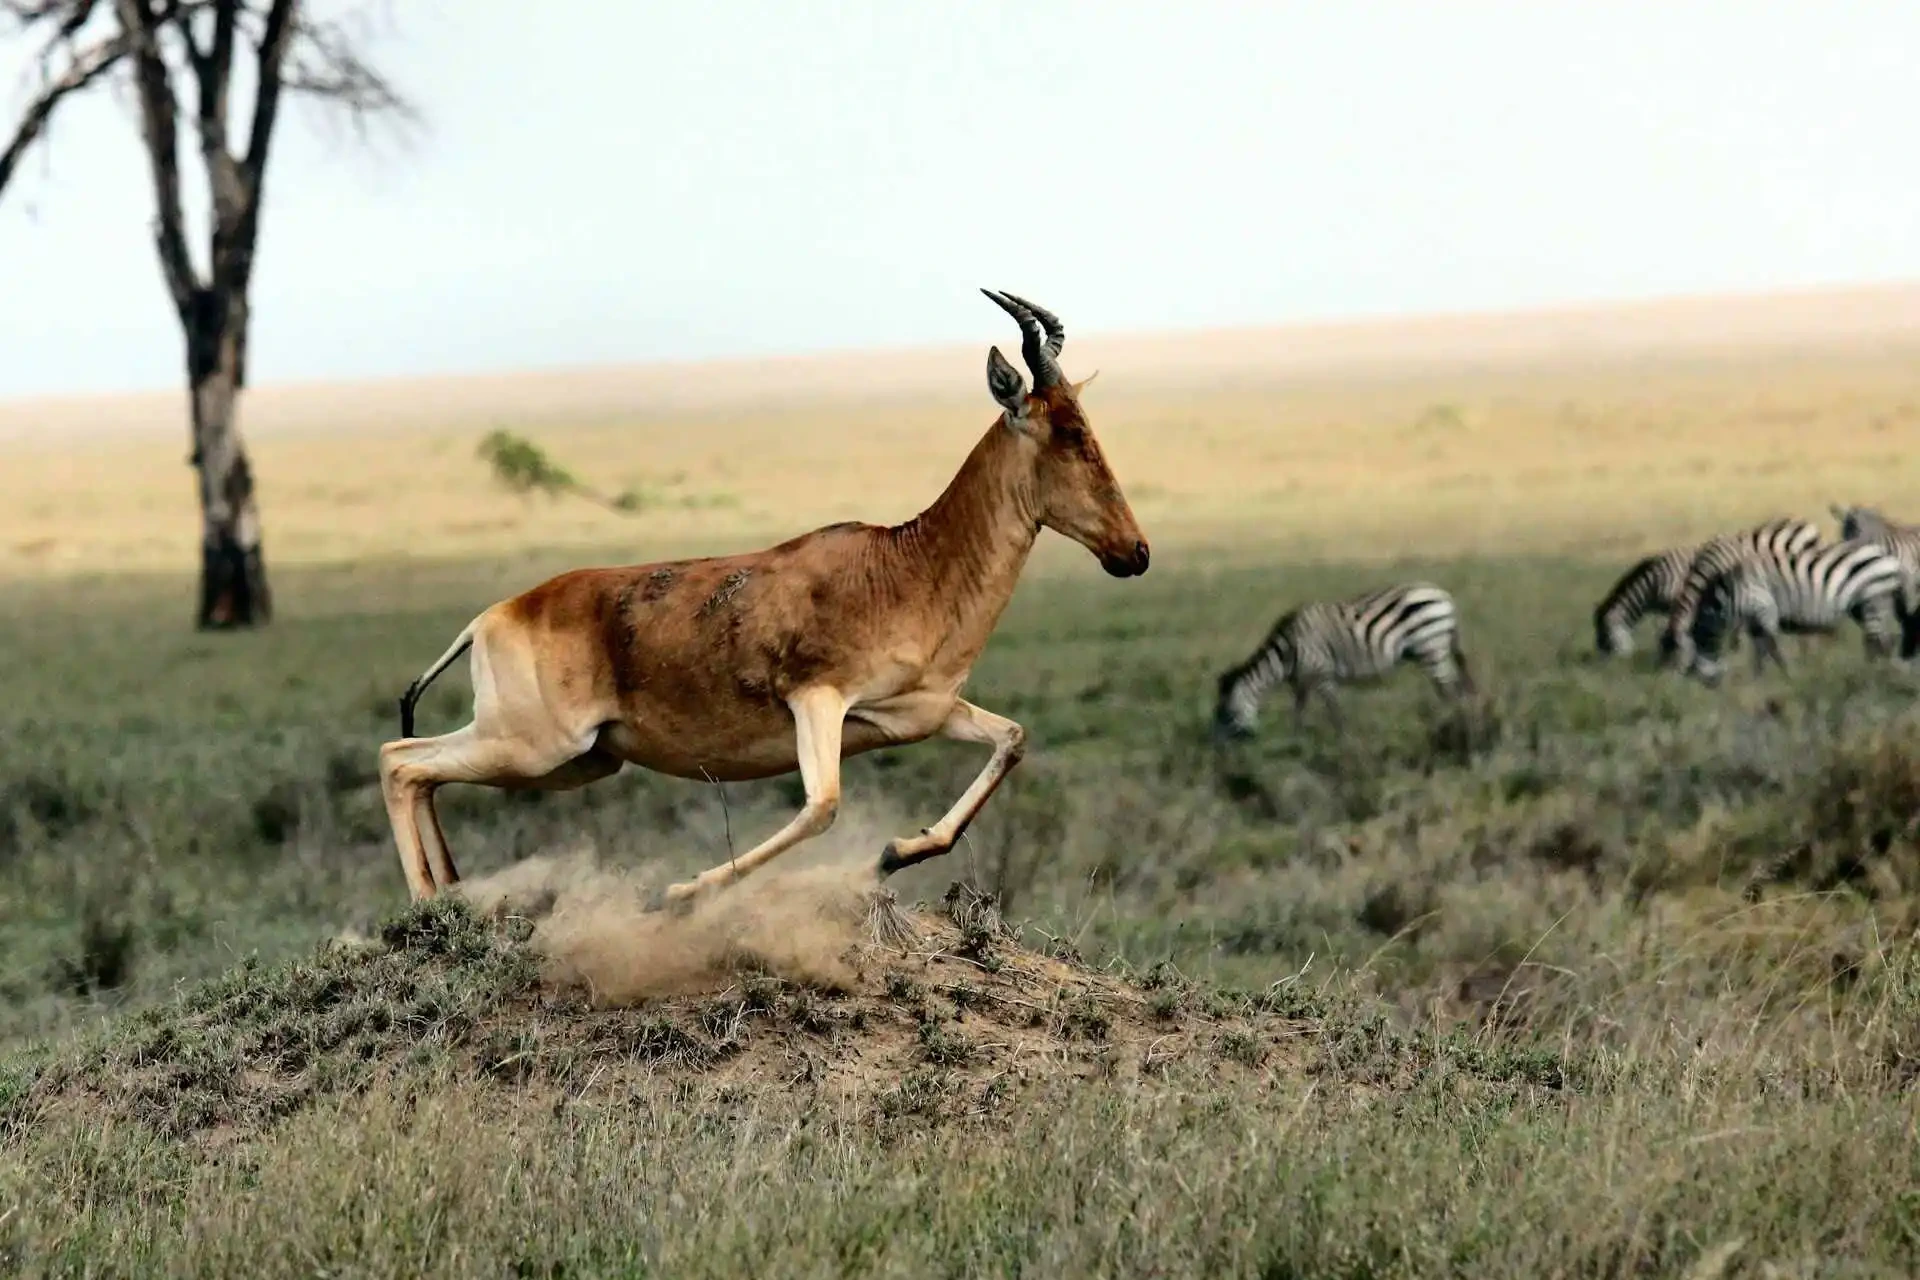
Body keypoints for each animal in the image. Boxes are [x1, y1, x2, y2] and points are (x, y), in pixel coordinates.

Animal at [1213, 583, 1466, 740]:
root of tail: (1444, 595)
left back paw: (1447, 724)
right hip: (1433, 651)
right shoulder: (1302, 681)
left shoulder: (1323, 674)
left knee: (1450, 689)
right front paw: (1295, 741)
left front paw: (1344, 743)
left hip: (1431, 647)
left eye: (1227, 713)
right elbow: (1298, 711)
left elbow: (1335, 713)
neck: (1287, 653)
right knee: (1450, 687)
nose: (1218, 749)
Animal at [1681, 537, 1904, 687]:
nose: (1710, 687)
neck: (1732, 594)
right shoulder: (1755, 621)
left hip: (1873, 600)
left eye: (1699, 647)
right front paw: (1756, 682)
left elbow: (1772, 649)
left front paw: (1789, 677)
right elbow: (1759, 653)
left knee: (1878, 642)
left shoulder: (1765, 610)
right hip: (1862, 607)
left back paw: (1871, 677)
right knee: (1881, 641)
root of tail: (1888, 557)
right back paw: (1878, 673)